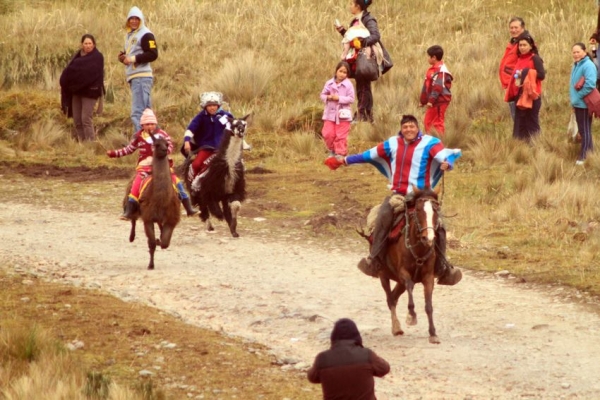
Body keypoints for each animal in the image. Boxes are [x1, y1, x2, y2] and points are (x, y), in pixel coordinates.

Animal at [126, 134, 180, 268]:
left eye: (167, 143)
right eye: (156, 144)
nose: (165, 150)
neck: (161, 200)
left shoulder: (171, 218)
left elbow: (165, 243)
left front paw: (159, 240)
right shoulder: (148, 217)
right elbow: (151, 243)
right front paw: (151, 265)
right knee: (133, 219)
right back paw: (131, 237)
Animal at [370, 188, 440, 344]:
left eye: (436, 210)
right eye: (418, 210)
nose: (428, 238)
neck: (419, 249)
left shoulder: (428, 277)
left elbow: (429, 305)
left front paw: (433, 333)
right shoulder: (403, 273)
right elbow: (410, 286)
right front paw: (411, 316)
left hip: (398, 282)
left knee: (394, 297)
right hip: (383, 275)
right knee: (390, 299)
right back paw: (396, 327)